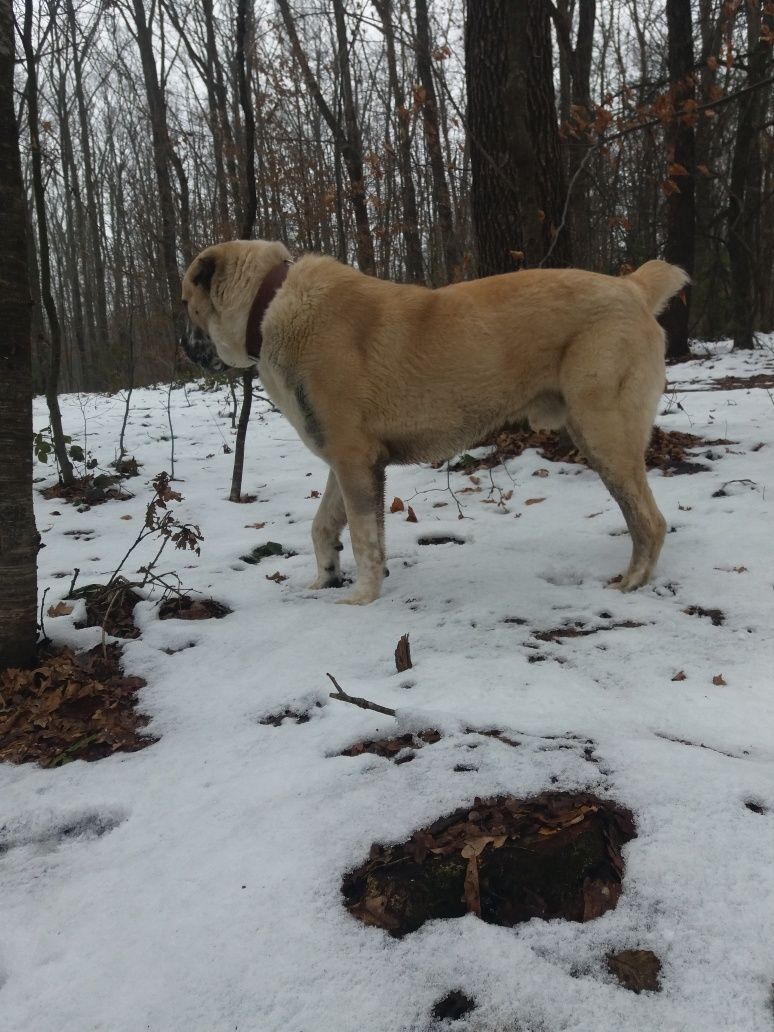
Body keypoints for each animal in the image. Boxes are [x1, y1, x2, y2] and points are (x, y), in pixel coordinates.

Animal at [183, 244, 689, 602]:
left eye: (187, 302)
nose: (184, 348)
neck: (268, 305)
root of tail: (633, 287)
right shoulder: (344, 462)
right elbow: (324, 525)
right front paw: (325, 578)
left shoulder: (354, 461)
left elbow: (366, 539)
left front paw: (361, 599)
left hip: (603, 433)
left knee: (650, 521)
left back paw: (631, 583)